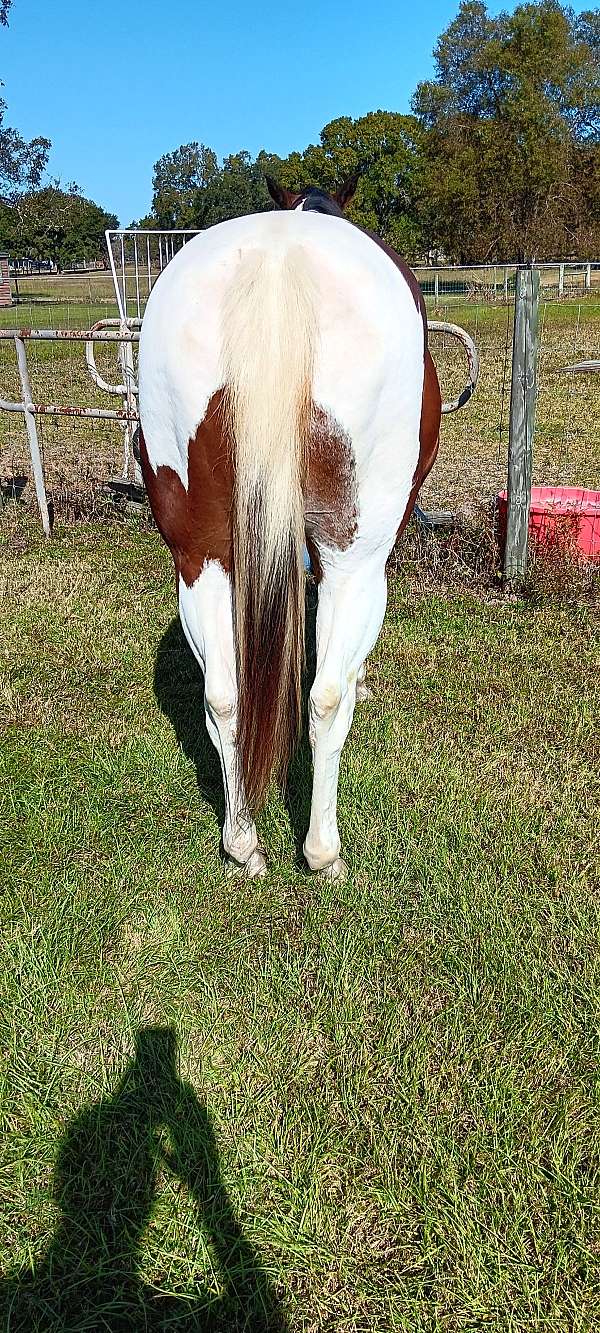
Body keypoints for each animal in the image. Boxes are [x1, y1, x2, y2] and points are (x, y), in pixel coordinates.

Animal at [138, 179, 442, 885]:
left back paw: (243, 842)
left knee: (224, 697)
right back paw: (323, 851)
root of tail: (276, 264)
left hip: (200, 554)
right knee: (325, 699)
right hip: (357, 557)